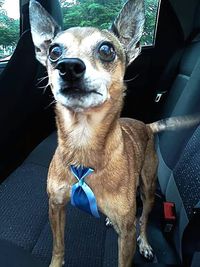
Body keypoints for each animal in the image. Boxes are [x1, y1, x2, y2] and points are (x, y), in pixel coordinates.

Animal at [28, 0, 199, 267]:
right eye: (54, 51)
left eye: (106, 50)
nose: (68, 66)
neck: (83, 144)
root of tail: (147, 126)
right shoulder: (55, 206)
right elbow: (58, 246)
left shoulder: (126, 234)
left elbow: (127, 247)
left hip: (148, 189)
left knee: (144, 220)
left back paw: (146, 244)